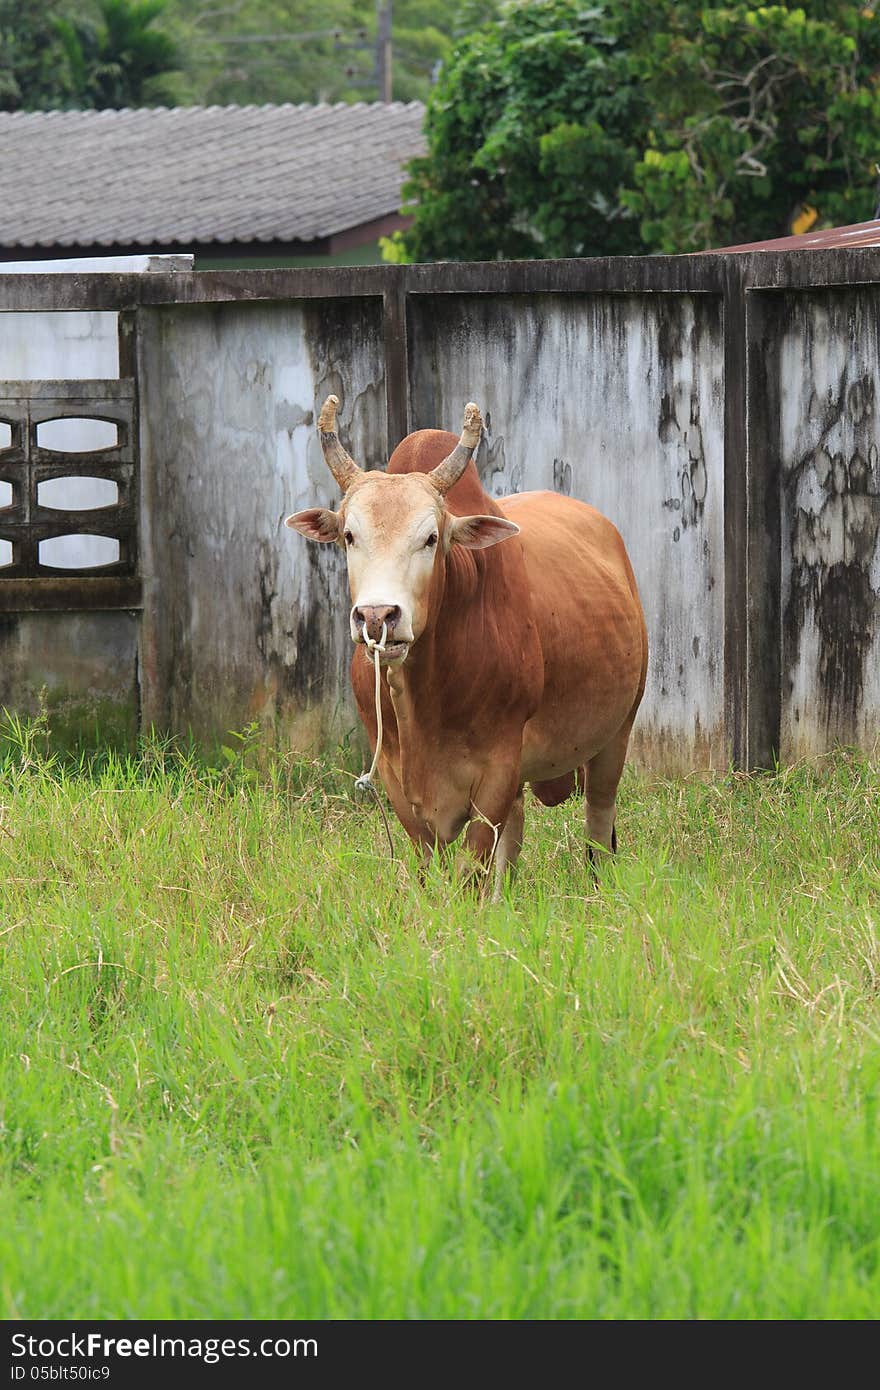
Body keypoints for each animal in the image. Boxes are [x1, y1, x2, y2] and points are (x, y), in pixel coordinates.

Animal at [287, 391, 645, 895]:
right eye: (349, 535)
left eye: (431, 537)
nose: (378, 617)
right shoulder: (396, 777)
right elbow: (431, 862)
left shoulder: (498, 766)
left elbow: (471, 870)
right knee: (514, 839)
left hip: (617, 732)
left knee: (597, 824)